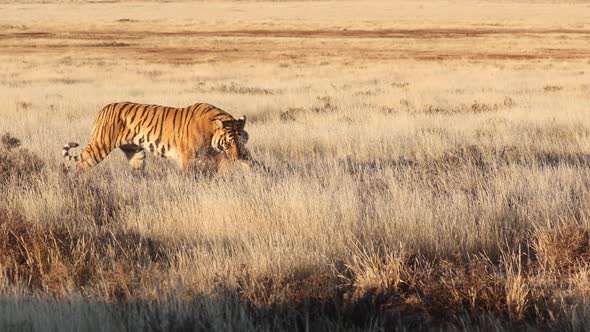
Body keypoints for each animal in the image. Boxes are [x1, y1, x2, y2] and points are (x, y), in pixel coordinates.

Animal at [61, 102, 251, 172]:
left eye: (241, 142)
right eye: (228, 143)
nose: (237, 157)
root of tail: (103, 108)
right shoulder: (187, 158)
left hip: (136, 153)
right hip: (100, 146)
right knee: (80, 165)